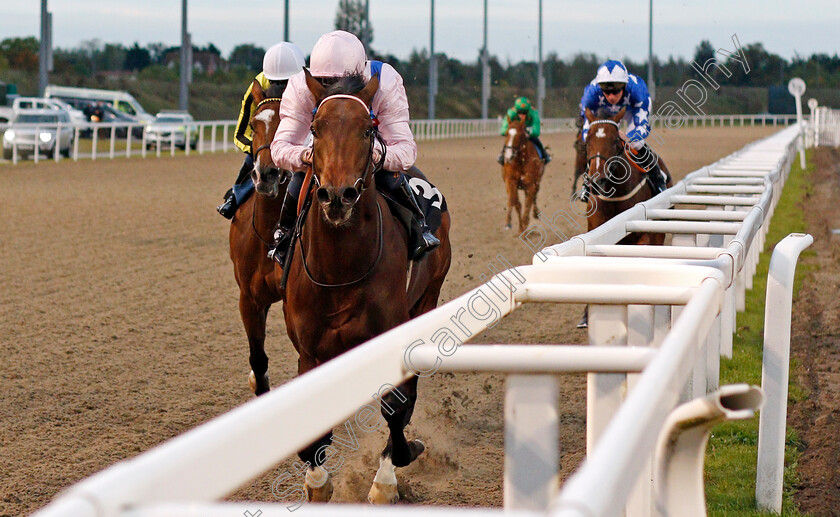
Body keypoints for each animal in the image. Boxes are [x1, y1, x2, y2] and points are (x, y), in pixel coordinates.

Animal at [280, 71, 452, 504]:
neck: (341, 268)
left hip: (427, 297)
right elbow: (314, 427)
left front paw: (388, 476)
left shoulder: (393, 336)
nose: (337, 195)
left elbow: (396, 406)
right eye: (314, 128)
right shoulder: (310, 350)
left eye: (368, 129)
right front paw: (317, 482)